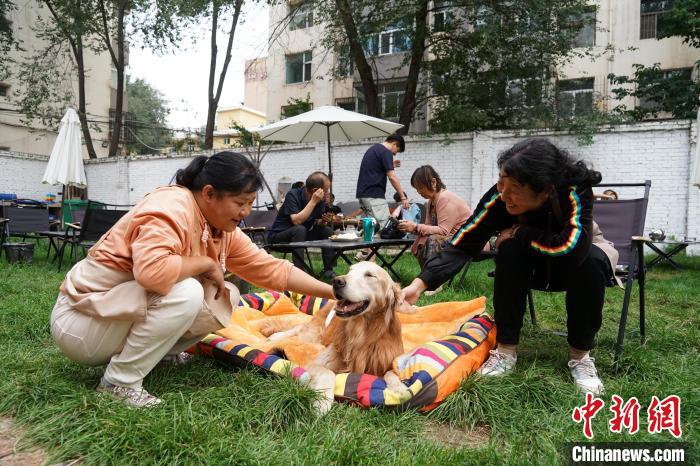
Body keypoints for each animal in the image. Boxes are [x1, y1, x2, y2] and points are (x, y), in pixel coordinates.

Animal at [264, 262, 416, 412]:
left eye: (369, 275)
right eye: (350, 271)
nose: (336, 281)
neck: (361, 333)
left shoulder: (384, 361)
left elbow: (392, 373)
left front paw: (400, 389)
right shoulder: (316, 363)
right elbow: (328, 373)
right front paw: (322, 402)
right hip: (312, 335)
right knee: (299, 328)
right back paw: (277, 335)